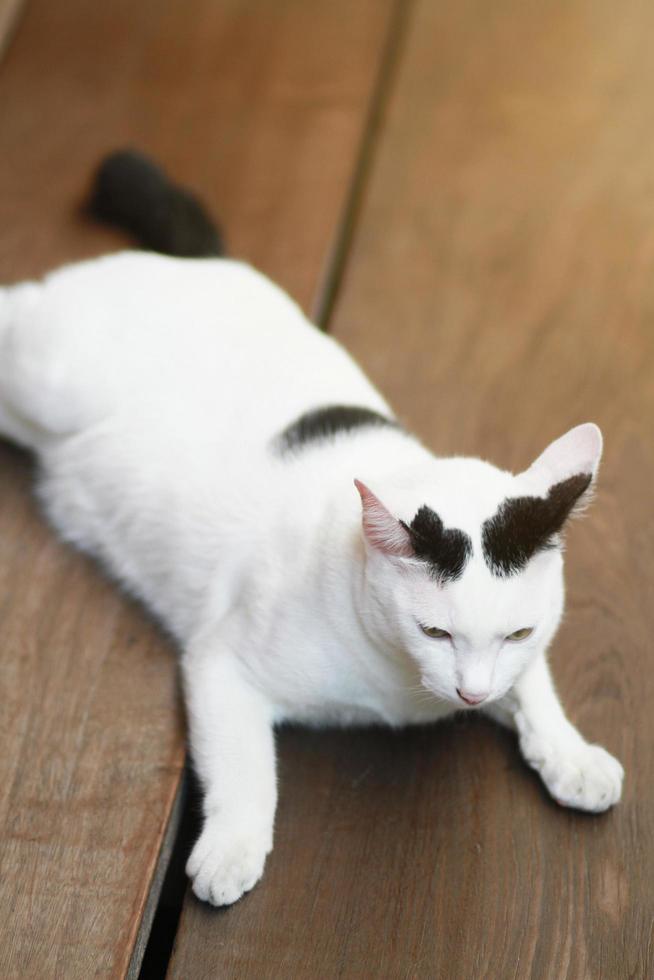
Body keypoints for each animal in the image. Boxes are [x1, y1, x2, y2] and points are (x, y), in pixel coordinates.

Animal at [0, 149, 624, 908]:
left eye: (518, 632)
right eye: (435, 632)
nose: (472, 695)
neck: (400, 692)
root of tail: (208, 265)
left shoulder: (516, 663)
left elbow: (535, 689)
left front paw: (571, 755)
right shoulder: (220, 664)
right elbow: (247, 769)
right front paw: (232, 849)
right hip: (44, 375)